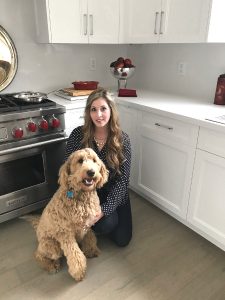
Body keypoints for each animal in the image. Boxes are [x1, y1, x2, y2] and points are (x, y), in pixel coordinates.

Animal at [26, 148, 108, 282]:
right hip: (52, 246)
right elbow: (75, 254)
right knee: (39, 255)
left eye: (94, 160)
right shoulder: (65, 233)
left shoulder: (88, 224)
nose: (91, 172)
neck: (82, 196)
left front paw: (91, 250)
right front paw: (78, 272)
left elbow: (90, 237)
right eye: (80, 160)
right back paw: (51, 266)